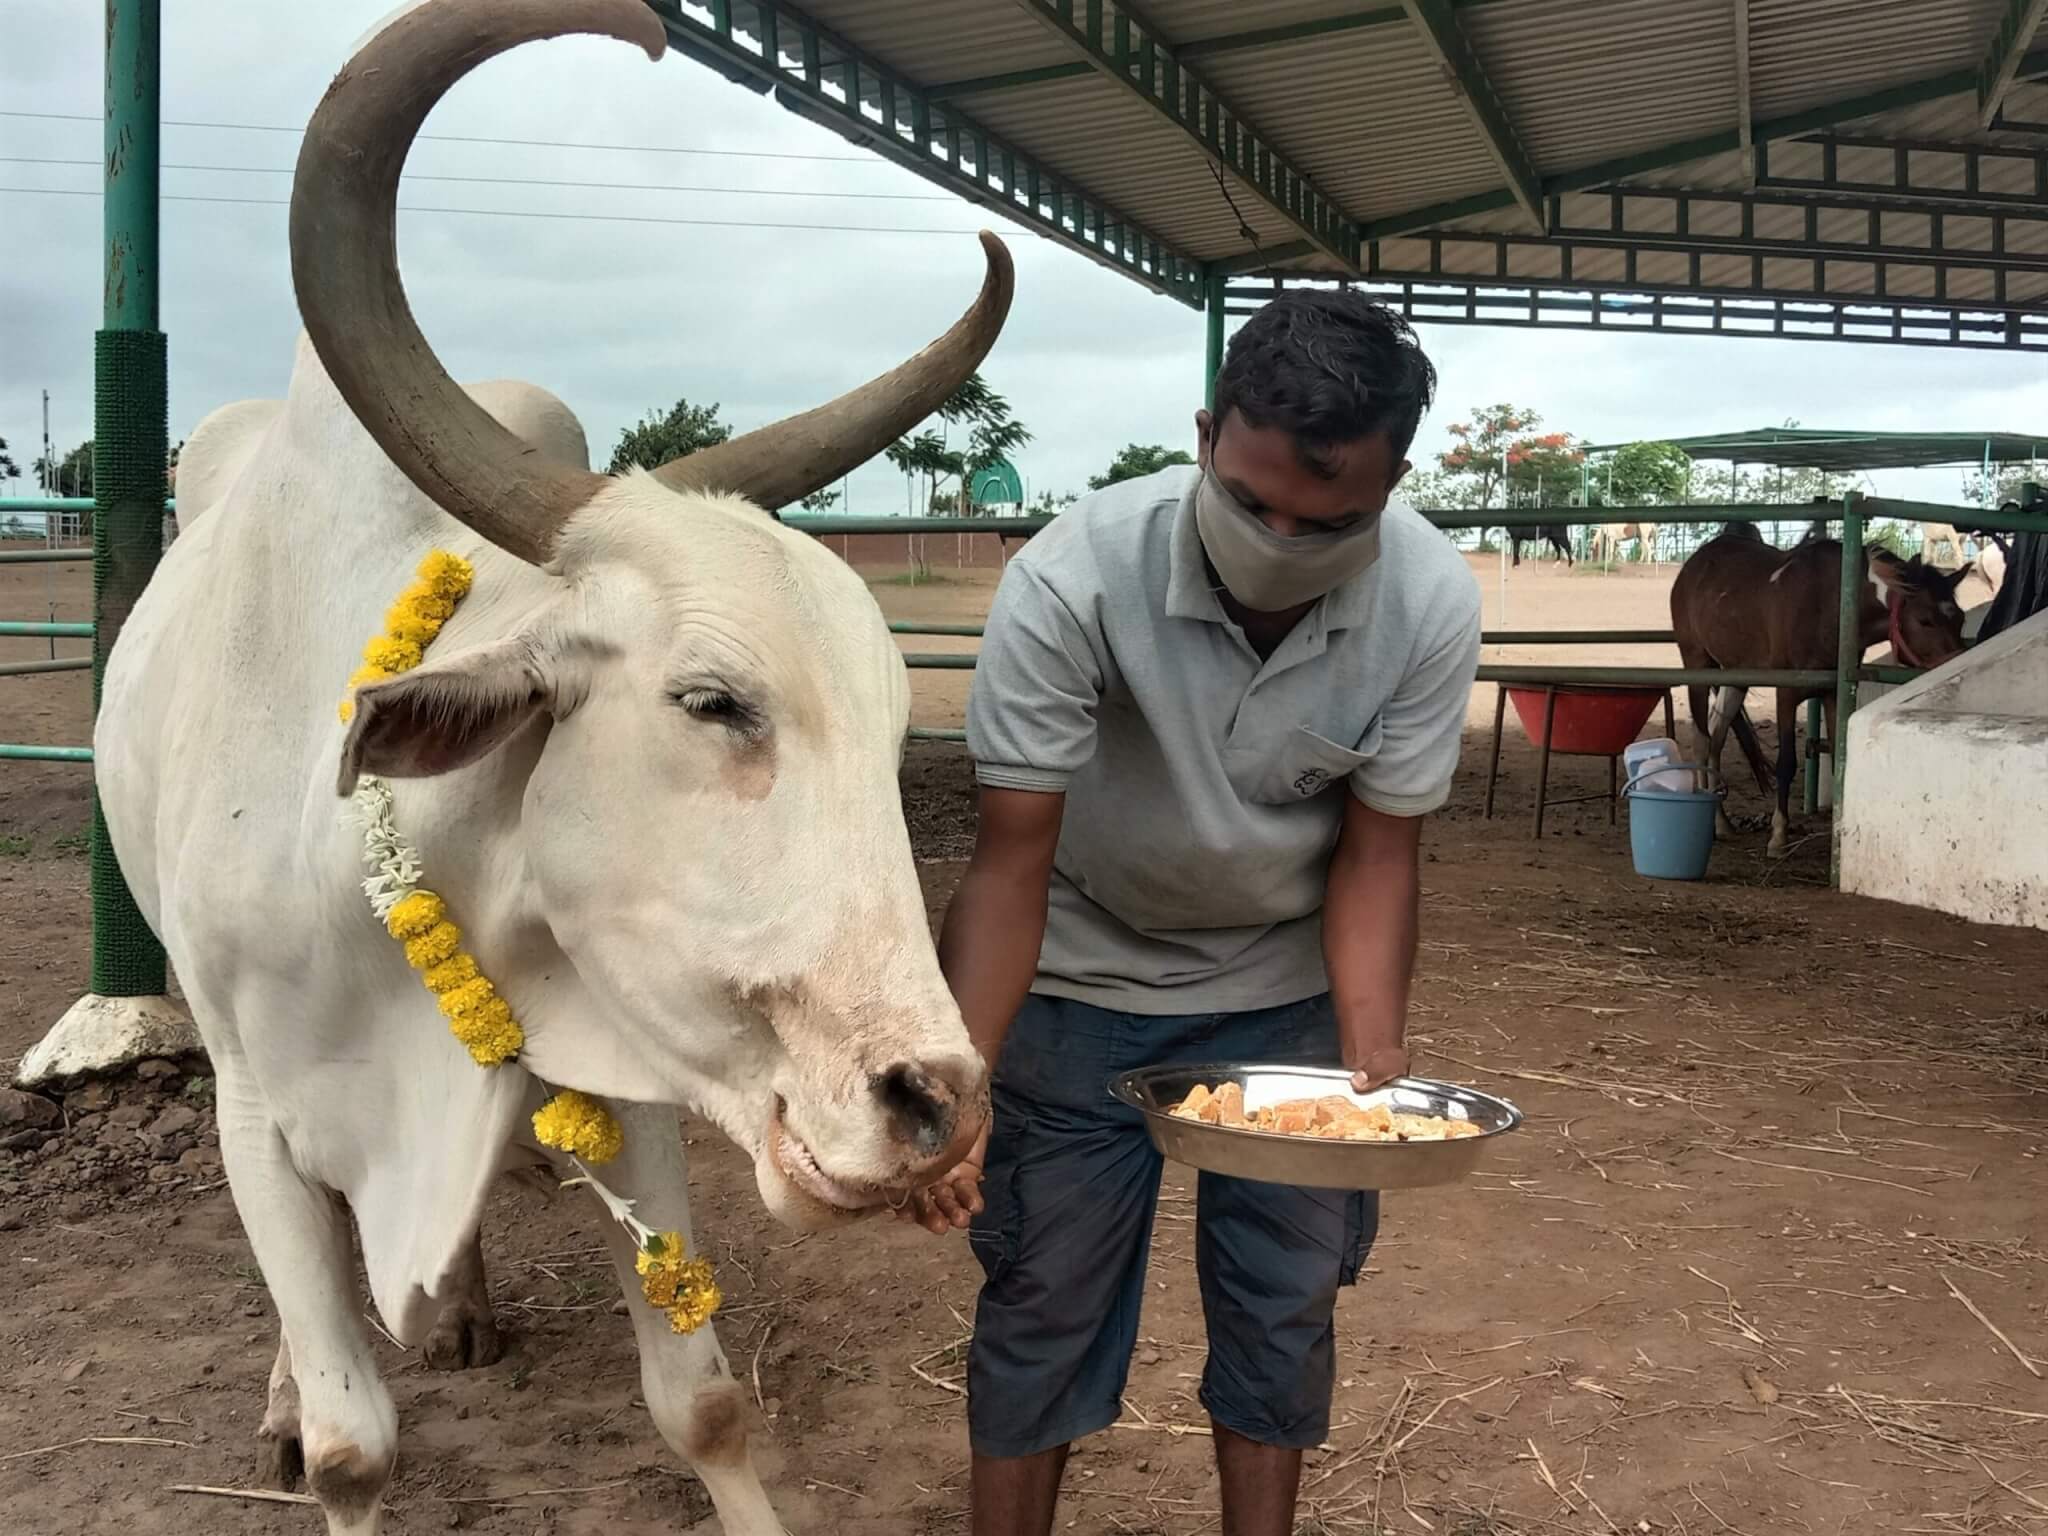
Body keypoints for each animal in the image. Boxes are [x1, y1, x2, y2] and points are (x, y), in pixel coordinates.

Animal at [96, 6, 1007, 1531]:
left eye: (896, 728)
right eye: (711, 701)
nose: (935, 1107)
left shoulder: (635, 1078)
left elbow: (703, 1403)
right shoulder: (256, 1111)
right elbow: (352, 1445)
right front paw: (308, 1417)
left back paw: (458, 1307)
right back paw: (289, 1389)